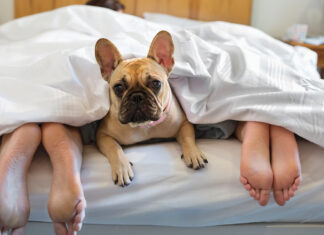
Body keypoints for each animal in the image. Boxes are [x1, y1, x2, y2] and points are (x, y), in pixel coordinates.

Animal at [95, 30, 209, 187]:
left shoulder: (184, 124)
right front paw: (122, 168)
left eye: (156, 83)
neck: (145, 126)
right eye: (118, 88)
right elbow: (114, 147)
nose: (137, 96)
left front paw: (194, 153)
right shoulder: (102, 135)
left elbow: (187, 138)